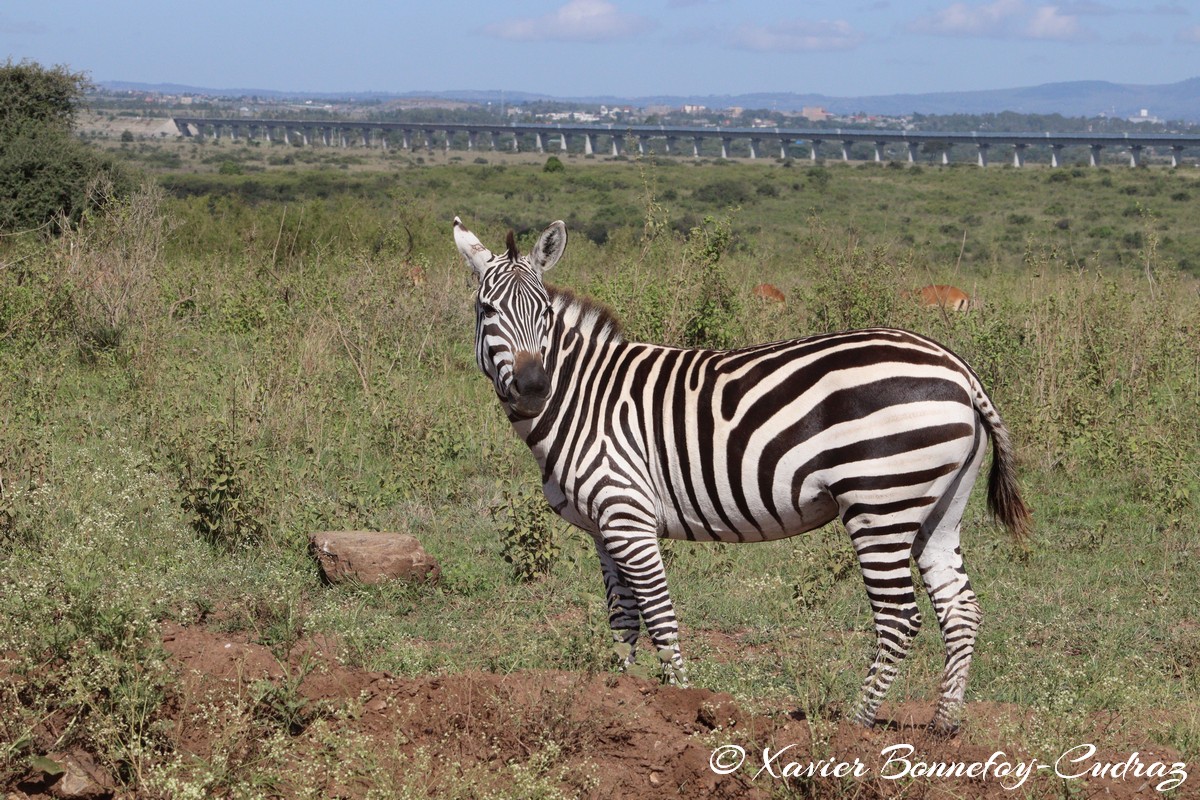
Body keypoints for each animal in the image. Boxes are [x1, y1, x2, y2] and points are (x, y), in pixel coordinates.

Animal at [451, 215, 1032, 734]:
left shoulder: (628, 515)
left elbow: (658, 613)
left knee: (899, 616)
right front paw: (619, 696)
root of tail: (957, 367)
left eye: (544, 313)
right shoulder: (604, 526)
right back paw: (945, 722)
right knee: (960, 609)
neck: (583, 398)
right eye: (487, 309)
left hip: (879, 501)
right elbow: (623, 618)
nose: (533, 388)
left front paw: (679, 703)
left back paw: (857, 723)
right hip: (940, 505)